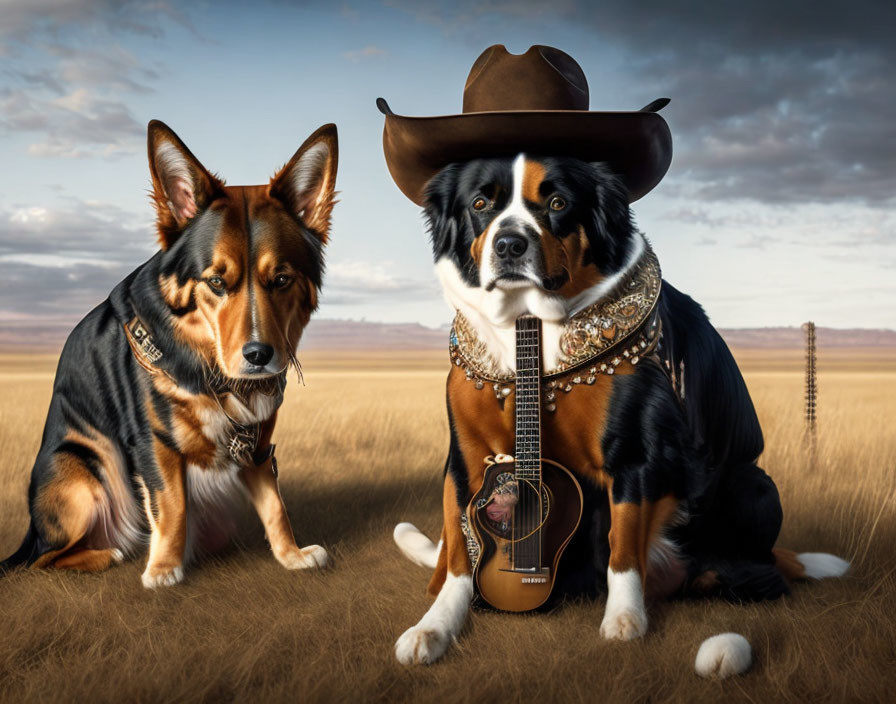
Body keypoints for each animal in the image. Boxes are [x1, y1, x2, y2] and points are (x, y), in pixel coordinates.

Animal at [1, 121, 338, 588]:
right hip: (81, 479)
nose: (259, 355)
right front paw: (163, 570)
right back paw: (107, 553)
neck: (212, 374)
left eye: (282, 279)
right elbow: (173, 505)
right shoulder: (154, 445)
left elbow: (275, 505)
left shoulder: (258, 446)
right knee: (43, 559)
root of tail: (32, 531)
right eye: (216, 282)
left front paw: (291, 555)